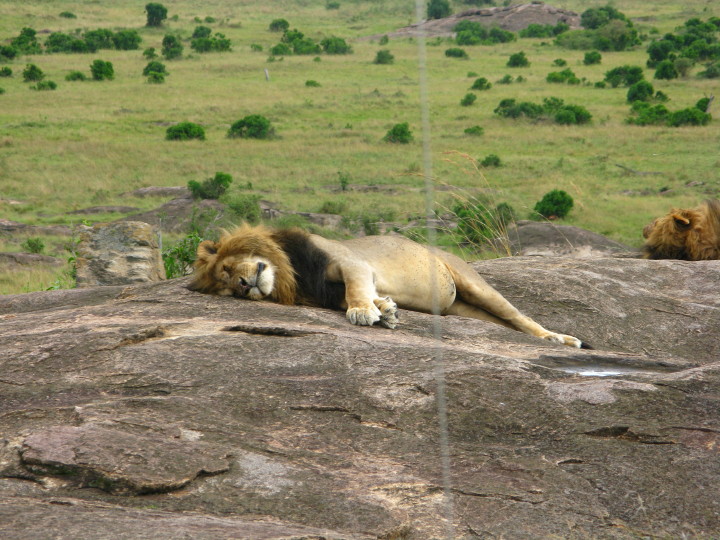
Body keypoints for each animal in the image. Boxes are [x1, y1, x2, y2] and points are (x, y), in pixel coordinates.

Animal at [187, 224, 584, 348]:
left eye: (227, 268)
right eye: (226, 286)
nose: (244, 284)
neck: (291, 273)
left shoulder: (351, 263)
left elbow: (355, 291)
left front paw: (364, 311)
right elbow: (364, 296)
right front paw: (385, 311)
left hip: (473, 283)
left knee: (520, 317)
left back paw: (560, 339)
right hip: (463, 309)